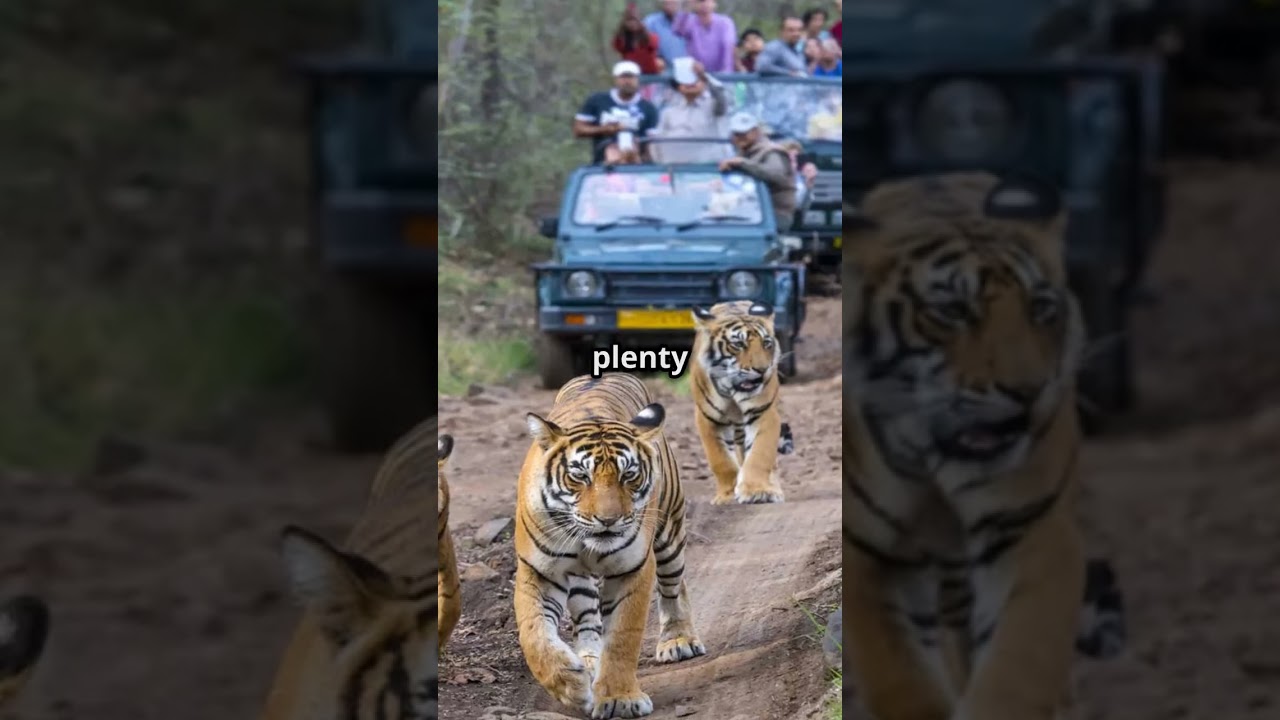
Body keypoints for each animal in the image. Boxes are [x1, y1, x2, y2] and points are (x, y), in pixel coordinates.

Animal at [515, 373, 705, 719]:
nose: (608, 520)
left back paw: (679, 639)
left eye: (628, 475)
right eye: (580, 476)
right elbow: (534, 635)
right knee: (588, 618)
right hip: (580, 578)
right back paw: (589, 663)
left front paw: (620, 699)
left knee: (673, 587)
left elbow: (622, 638)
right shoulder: (539, 572)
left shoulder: (633, 569)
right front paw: (570, 684)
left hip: (670, 531)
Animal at [690, 300, 796, 505]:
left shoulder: (763, 413)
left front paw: (757, 490)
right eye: (738, 344)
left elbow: (760, 454)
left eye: (766, 343)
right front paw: (728, 495)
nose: (762, 369)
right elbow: (720, 460)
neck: (732, 389)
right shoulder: (707, 419)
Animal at [841, 172, 1124, 720]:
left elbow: (1017, 671)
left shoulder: (1030, 531)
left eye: (1041, 308)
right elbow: (899, 677)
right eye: (953, 311)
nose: (1030, 391)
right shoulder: (867, 553)